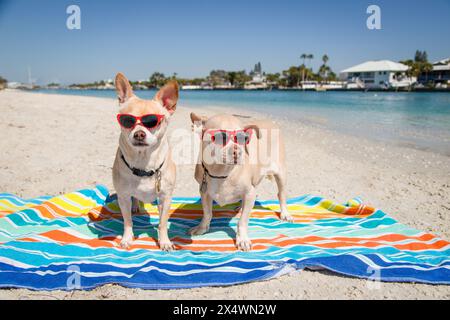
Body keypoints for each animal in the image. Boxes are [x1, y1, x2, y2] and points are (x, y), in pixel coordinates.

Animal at [111, 74, 178, 251]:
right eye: (127, 121)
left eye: (153, 121)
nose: (139, 134)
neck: (144, 163)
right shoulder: (123, 197)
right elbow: (127, 221)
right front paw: (127, 238)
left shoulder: (165, 198)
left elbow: (163, 222)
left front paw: (164, 241)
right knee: (134, 200)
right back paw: (135, 206)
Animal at [189, 114, 292, 251]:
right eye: (220, 137)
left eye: (243, 138)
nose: (238, 152)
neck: (222, 173)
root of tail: (272, 123)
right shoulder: (204, 193)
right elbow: (207, 213)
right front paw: (202, 228)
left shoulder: (250, 193)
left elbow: (242, 220)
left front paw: (242, 239)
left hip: (280, 174)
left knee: (281, 194)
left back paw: (285, 213)